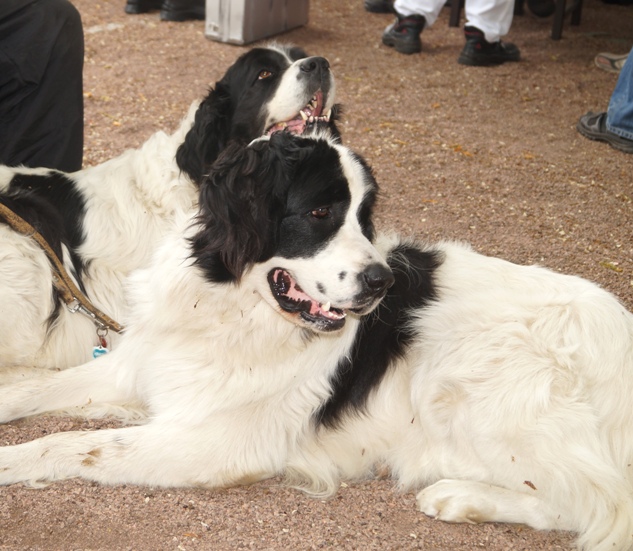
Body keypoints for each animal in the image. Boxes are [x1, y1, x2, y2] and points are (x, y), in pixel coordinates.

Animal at [1, 135, 632, 551]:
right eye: (322, 211)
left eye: (365, 217)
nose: (382, 282)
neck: (232, 304)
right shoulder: (136, 367)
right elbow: (32, 392)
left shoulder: (217, 443)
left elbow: (73, 445)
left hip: (473, 378)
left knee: (598, 503)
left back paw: (461, 497)